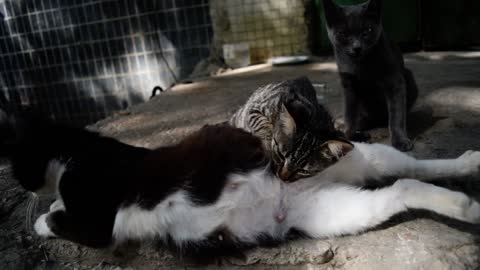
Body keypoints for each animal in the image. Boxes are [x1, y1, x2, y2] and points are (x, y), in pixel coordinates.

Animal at [0, 117, 480, 256]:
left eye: (17, 163)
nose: (23, 188)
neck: (79, 148)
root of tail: (289, 179)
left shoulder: (96, 219)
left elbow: (61, 220)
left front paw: (40, 219)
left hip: (355, 170)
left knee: (406, 177)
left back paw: (466, 198)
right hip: (336, 208)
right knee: (405, 179)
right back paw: (467, 185)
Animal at [324, 0, 418, 151]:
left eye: (367, 31)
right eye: (343, 33)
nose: (357, 47)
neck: (361, 65)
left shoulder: (394, 81)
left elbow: (396, 114)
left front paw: (400, 140)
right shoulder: (349, 85)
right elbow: (350, 113)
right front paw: (351, 135)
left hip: (409, 78)